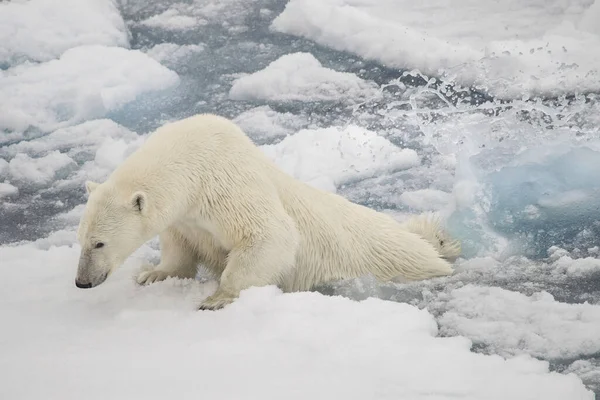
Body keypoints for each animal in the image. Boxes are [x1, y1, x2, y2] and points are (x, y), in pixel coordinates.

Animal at [74, 112, 460, 310]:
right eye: (81, 239)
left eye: (99, 243)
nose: (82, 282)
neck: (192, 161)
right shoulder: (187, 217)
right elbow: (178, 245)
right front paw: (153, 273)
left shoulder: (227, 183)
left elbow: (270, 235)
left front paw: (216, 298)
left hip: (392, 261)